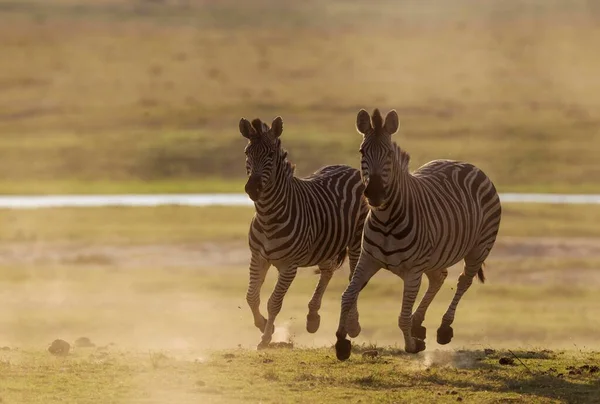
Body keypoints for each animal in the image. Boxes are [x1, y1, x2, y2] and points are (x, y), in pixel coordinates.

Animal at [238, 115, 368, 348]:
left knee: (353, 277)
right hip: (327, 243)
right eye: (247, 153)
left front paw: (266, 337)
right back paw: (313, 318)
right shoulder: (258, 257)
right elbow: (251, 296)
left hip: (355, 241)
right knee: (327, 271)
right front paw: (263, 325)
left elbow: (274, 302)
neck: (268, 217)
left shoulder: (289, 266)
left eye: (270, 155)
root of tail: (349, 168)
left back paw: (353, 326)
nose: (252, 188)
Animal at [336, 108, 500, 360]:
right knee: (439, 277)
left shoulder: (413, 270)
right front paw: (342, 341)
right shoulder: (368, 259)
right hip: (435, 256)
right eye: (362, 152)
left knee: (463, 281)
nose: (374, 194)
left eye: (389, 154)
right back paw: (419, 324)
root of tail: (468, 164)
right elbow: (347, 296)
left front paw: (412, 346)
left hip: (479, 248)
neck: (386, 220)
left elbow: (402, 316)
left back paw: (443, 328)